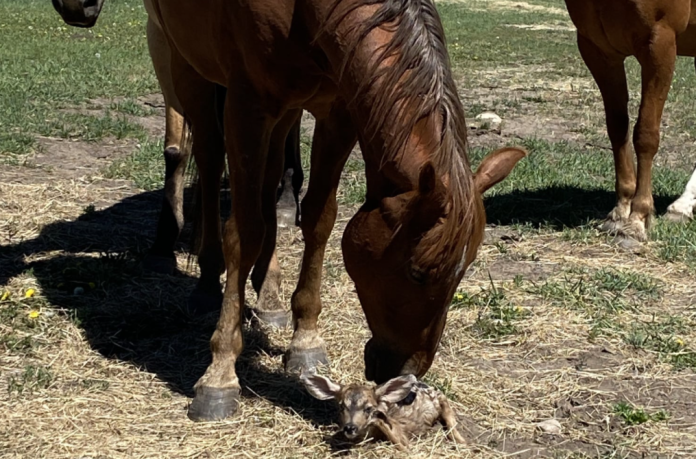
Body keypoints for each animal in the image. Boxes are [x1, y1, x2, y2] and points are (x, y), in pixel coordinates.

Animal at [301, 373, 465, 450]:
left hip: (439, 397)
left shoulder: (402, 431)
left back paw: (460, 440)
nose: (350, 427)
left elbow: (403, 445)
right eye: (341, 407)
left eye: (368, 408)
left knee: (448, 412)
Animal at [565, 0, 696, 241]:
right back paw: (681, 206)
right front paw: (621, 210)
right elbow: (617, 128)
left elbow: (645, 133)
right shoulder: (599, 50)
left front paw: (638, 218)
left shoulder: (659, 41)